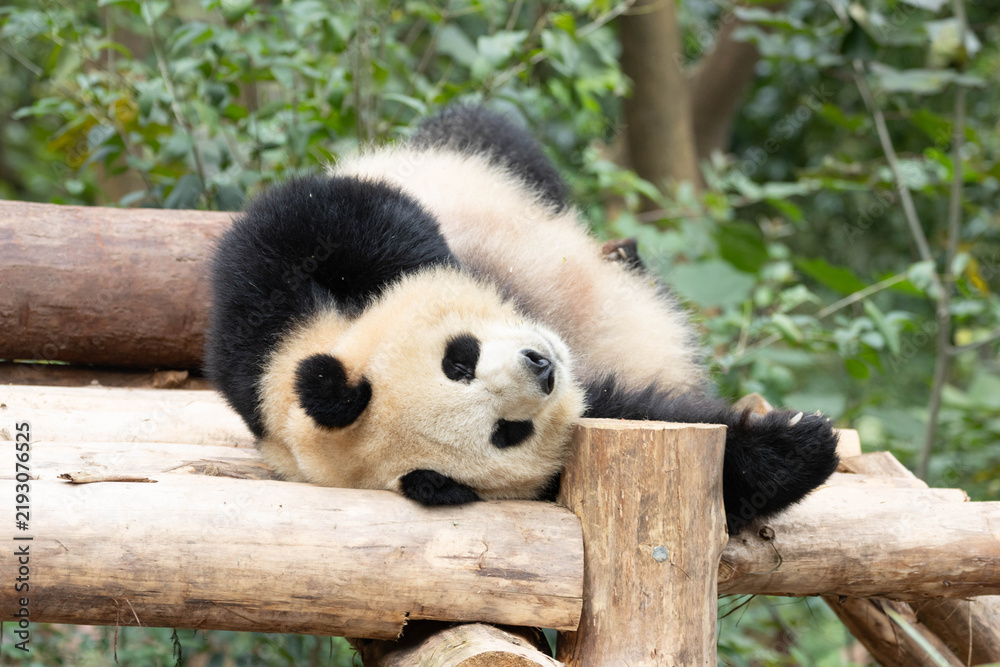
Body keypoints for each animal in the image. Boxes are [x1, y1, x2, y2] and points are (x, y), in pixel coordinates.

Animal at [205, 105, 839, 533]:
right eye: (507, 432)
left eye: (458, 360)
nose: (542, 366)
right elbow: (657, 430)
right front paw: (802, 446)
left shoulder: (264, 328)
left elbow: (321, 215)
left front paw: (434, 265)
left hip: (472, 153)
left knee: (497, 140)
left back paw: (621, 254)